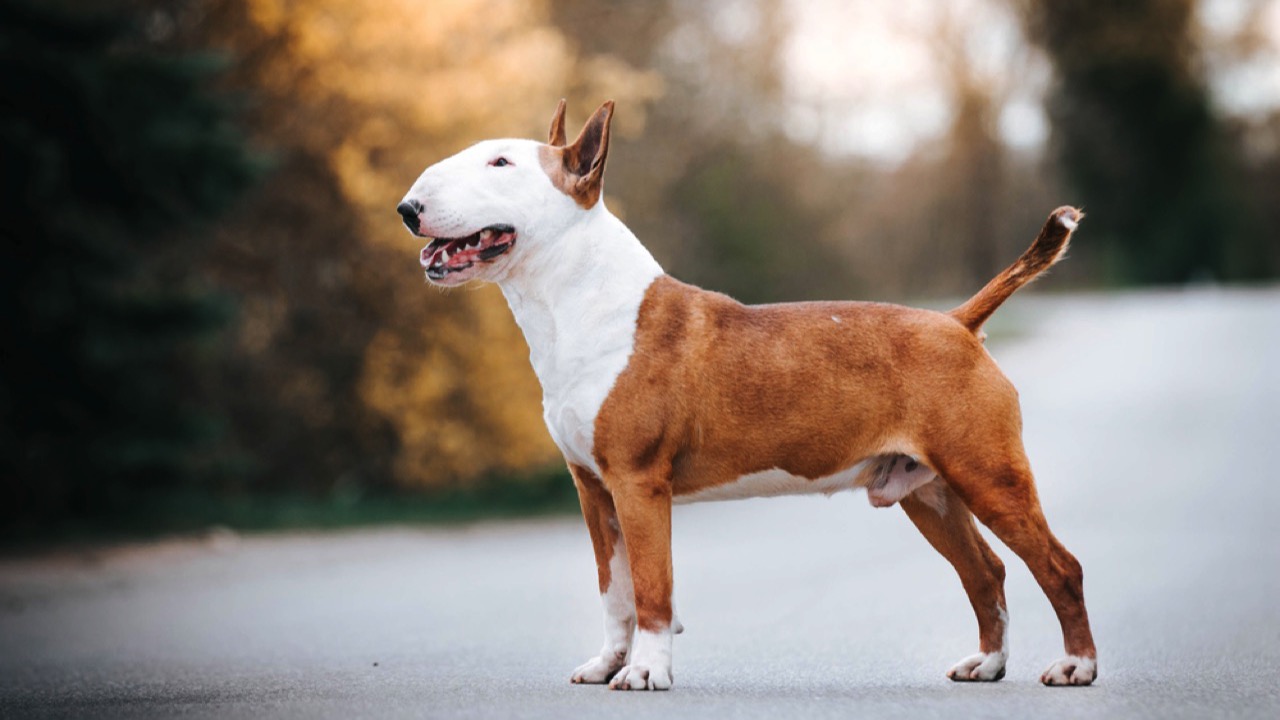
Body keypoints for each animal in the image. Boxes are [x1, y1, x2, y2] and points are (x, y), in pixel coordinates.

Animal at [399, 101, 1100, 691]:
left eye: (501, 163)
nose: (407, 207)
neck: (581, 302)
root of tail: (957, 322)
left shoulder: (638, 483)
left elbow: (652, 587)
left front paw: (647, 672)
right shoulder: (593, 489)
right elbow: (613, 591)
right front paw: (606, 665)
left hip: (990, 476)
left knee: (1059, 566)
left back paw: (1076, 666)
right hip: (927, 492)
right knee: (986, 573)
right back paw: (988, 663)